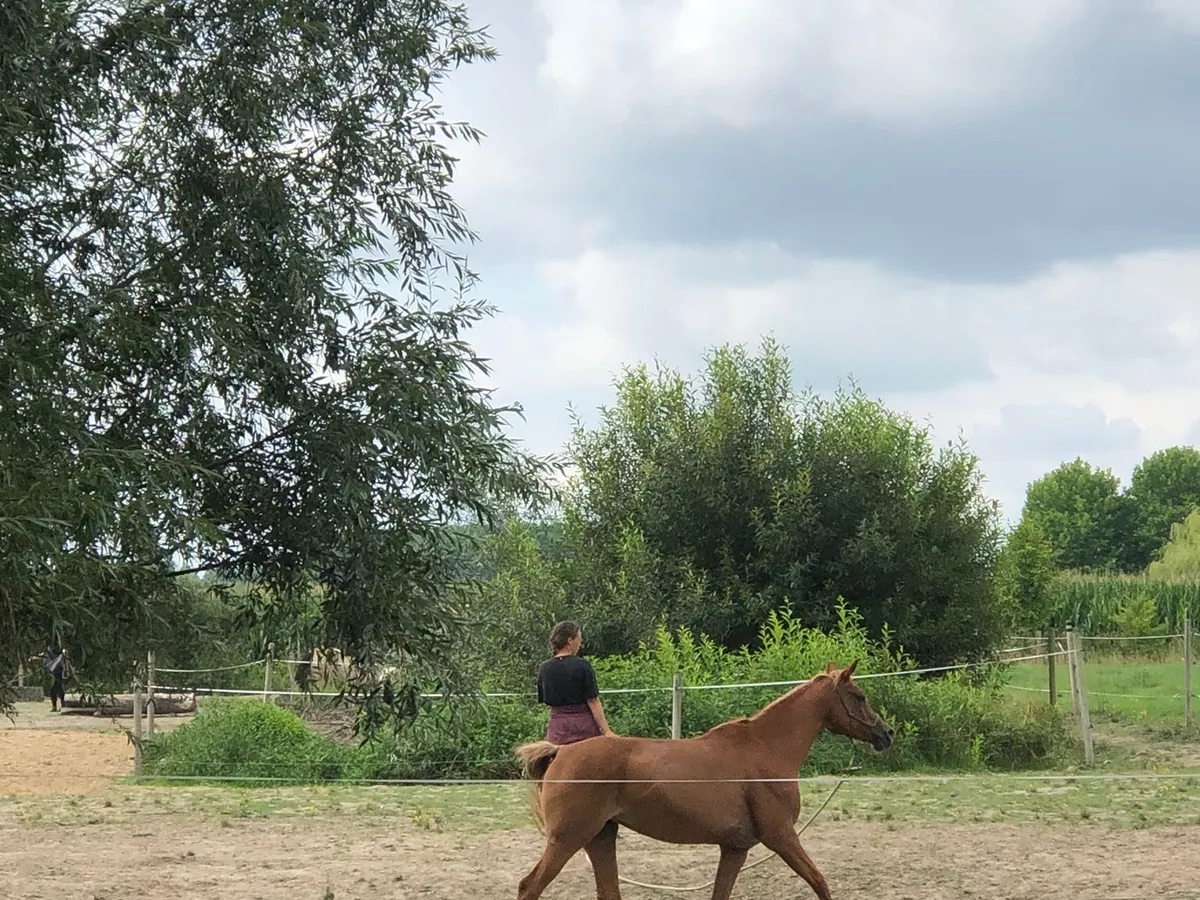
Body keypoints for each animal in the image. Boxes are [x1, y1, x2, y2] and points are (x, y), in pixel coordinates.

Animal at [513, 658, 893, 900]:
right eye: (859, 696)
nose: (886, 734)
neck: (766, 748)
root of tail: (560, 752)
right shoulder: (782, 837)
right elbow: (820, 883)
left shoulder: (736, 848)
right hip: (567, 840)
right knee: (529, 886)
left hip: (600, 838)